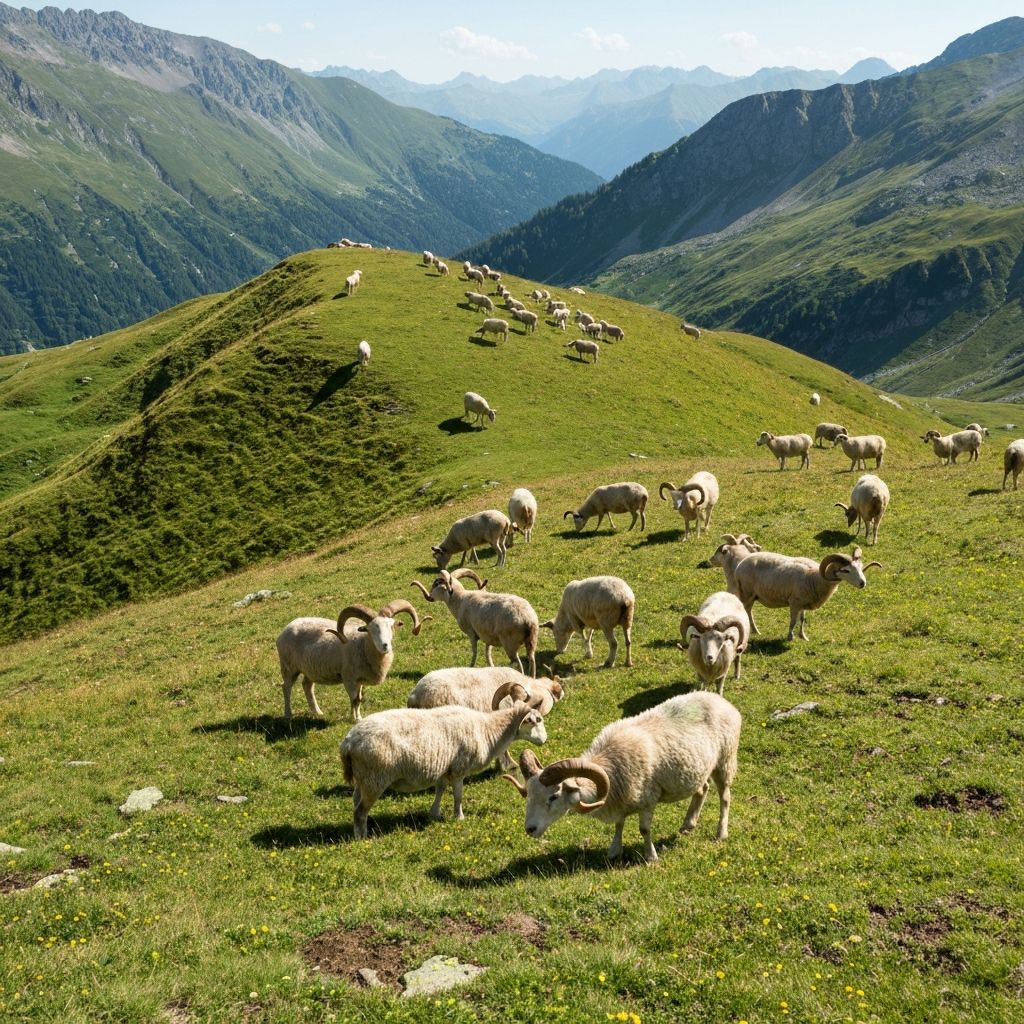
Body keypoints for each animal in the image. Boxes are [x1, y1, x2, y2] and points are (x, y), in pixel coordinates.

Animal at [276, 599, 426, 722]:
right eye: (369, 629)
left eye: (392, 626)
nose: (385, 645)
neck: (363, 645)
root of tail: (288, 626)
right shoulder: (349, 679)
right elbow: (355, 700)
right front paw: (356, 719)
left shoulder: (359, 681)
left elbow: (359, 700)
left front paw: (357, 716)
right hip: (288, 666)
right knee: (286, 687)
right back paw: (288, 715)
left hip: (311, 668)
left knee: (307, 686)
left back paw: (317, 712)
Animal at [340, 683, 548, 838]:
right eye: (535, 719)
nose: (545, 740)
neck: (488, 729)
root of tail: (349, 742)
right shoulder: (459, 769)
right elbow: (458, 795)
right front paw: (459, 817)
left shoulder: (443, 767)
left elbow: (440, 789)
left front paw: (434, 813)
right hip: (374, 780)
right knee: (360, 812)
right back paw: (362, 838)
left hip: (362, 778)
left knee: (355, 802)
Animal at [410, 568, 539, 677]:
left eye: (436, 584)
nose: (429, 597)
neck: (459, 599)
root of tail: (527, 619)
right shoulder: (488, 636)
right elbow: (487, 653)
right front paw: (491, 667)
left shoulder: (471, 633)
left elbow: (475, 652)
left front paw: (471, 667)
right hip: (531, 641)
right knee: (532, 660)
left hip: (509, 642)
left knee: (516, 662)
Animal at [504, 690, 741, 864]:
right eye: (529, 796)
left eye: (553, 796)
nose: (530, 829)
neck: (611, 766)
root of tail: (721, 700)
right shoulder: (619, 800)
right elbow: (619, 824)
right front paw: (614, 851)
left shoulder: (648, 799)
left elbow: (644, 830)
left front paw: (651, 857)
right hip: (698, 766)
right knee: (702, 789)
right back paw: (688, 825)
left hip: (725, 760)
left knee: (725, 797)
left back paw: (721, 833)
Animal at [732, 546, 881, 641]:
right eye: (846, 570)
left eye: (860, 568)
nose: (862, 583)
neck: (816, 578)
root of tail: (740, 565)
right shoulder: (794, 602)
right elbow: (793, 621)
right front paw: (790, 637)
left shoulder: (803, 603)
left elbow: (802, 620)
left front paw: (803, 637)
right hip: (747, 593)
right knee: (747, 611)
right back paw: (755, 631)